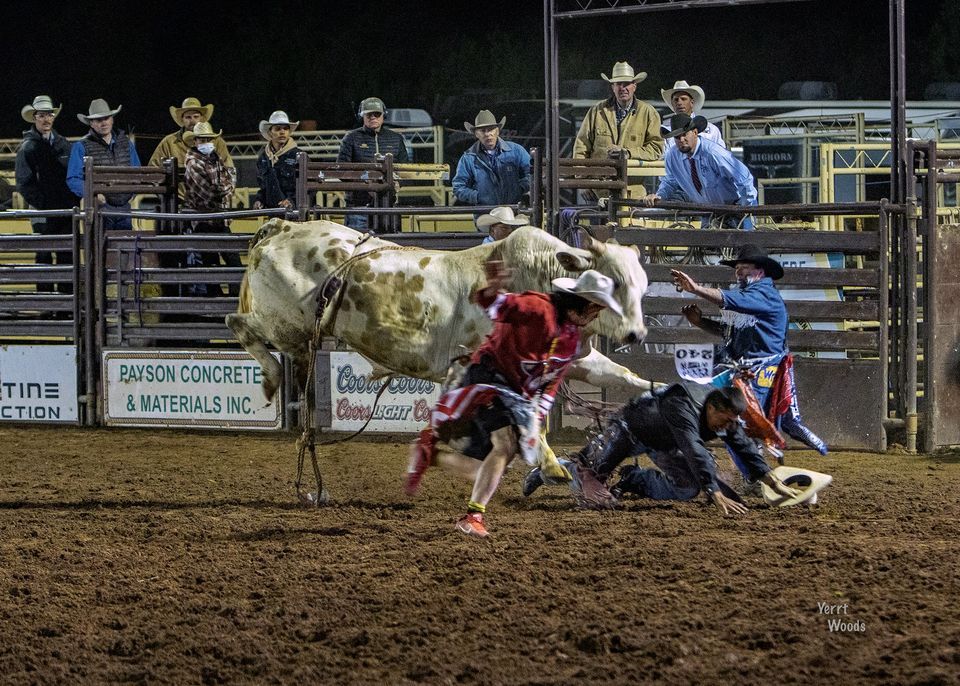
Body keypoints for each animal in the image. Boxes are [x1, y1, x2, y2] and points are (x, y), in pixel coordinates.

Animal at [229, 220, 656, 494]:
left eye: (640, 286)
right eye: (611, 283)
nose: (637, 334)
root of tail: (281, 229)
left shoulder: (577, 359)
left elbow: (621, 376)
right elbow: (530, 418)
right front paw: (550, 466)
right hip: (285, 325)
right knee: (238, 323)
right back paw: (272, 380)